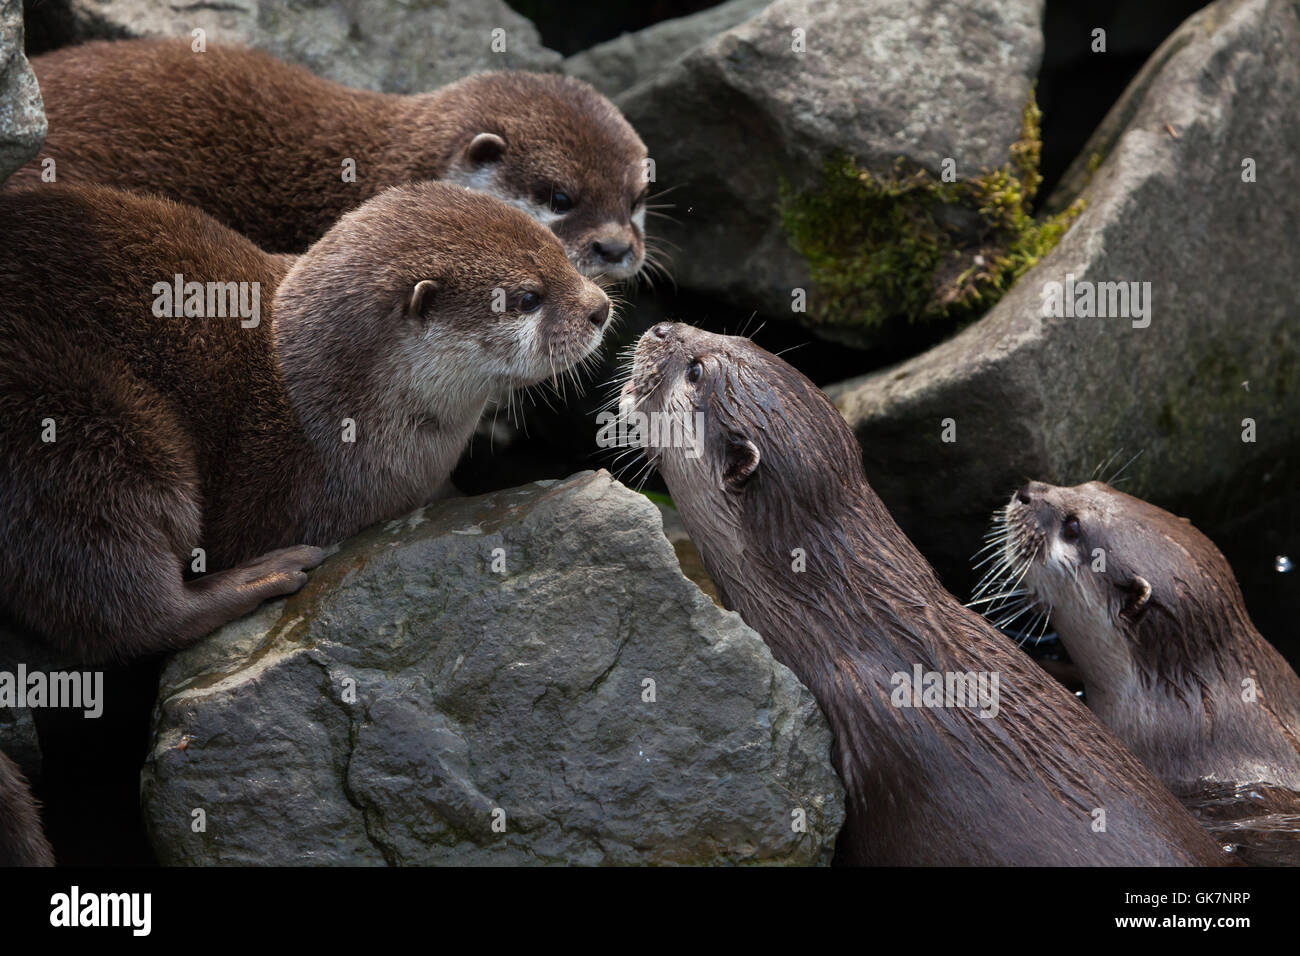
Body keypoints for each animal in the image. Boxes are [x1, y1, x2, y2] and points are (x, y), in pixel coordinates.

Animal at [0, 179, 611, 660]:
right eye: (528, 297)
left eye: (562, 252)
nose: (601, 307)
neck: (326, 410)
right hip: (77, 423)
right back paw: (259, 577)